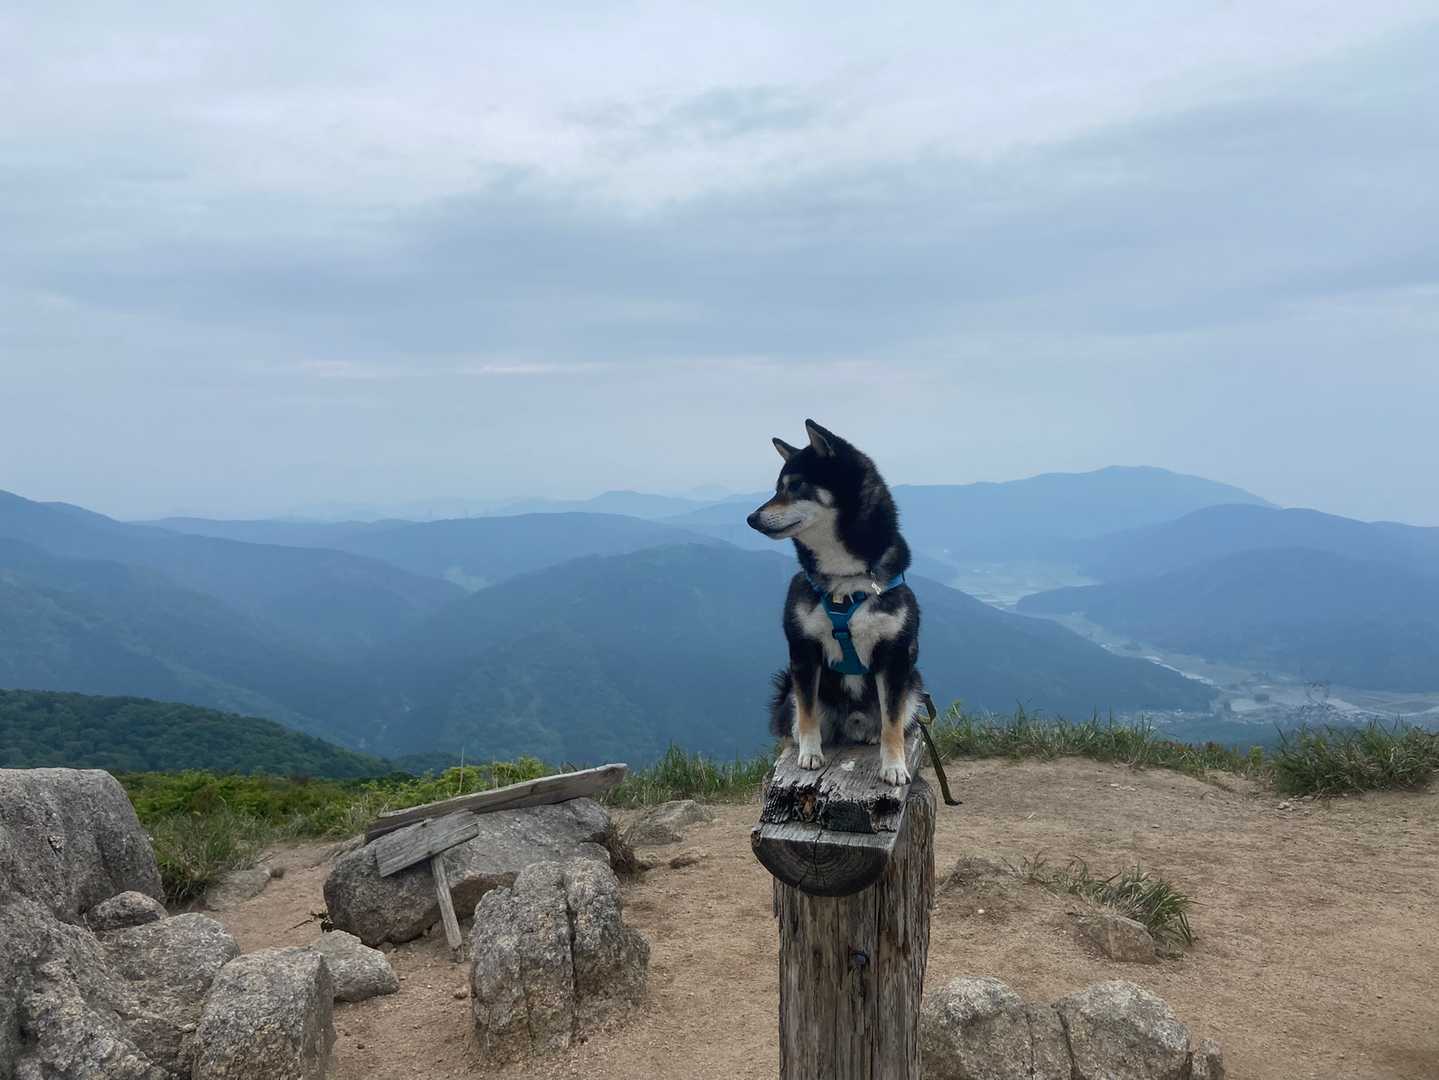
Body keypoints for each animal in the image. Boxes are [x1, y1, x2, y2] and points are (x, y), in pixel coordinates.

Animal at [747, 419, 922, 786]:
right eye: (777, 488)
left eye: (796, 486)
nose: (751, 518)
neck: (845, 580)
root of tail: (851, 725)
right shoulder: (803, 649)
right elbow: (807, 710)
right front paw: (810, 753)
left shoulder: (895, 656)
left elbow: (893, 723)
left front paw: (894, 766)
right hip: (788, 691)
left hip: (914, 687)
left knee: (890, 720)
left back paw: (872, 735)